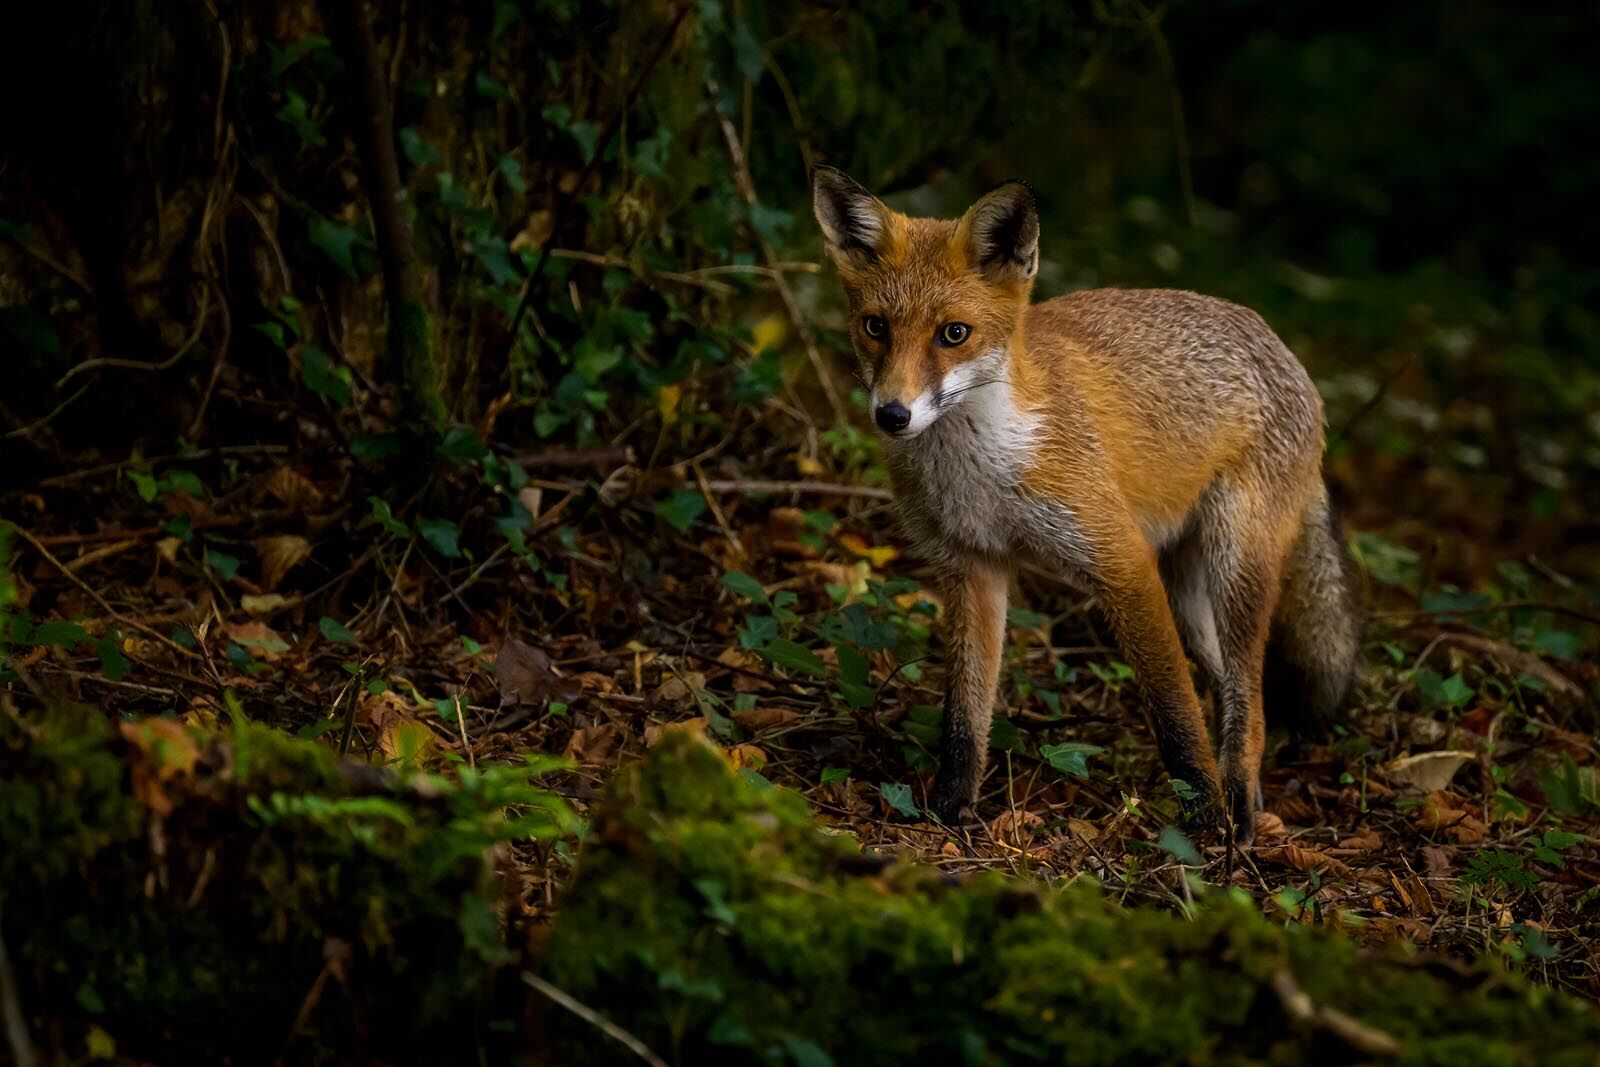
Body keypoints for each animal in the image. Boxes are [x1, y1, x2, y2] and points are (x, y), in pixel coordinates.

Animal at [811, 166, 1362, 844]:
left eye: (954, 334)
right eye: (876, 327)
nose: (892, 414)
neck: (984, 471)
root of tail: (1286, 353)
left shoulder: (1122, 563)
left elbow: (1174, 715)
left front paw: (1201, 823)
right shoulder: (971, 565)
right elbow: (964, 716)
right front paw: (949, 810)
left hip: (1234, 568)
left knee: (1249, 700)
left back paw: (1236, 810)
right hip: (1188, 595)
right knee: (1225, 688)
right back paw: (1250, 798)